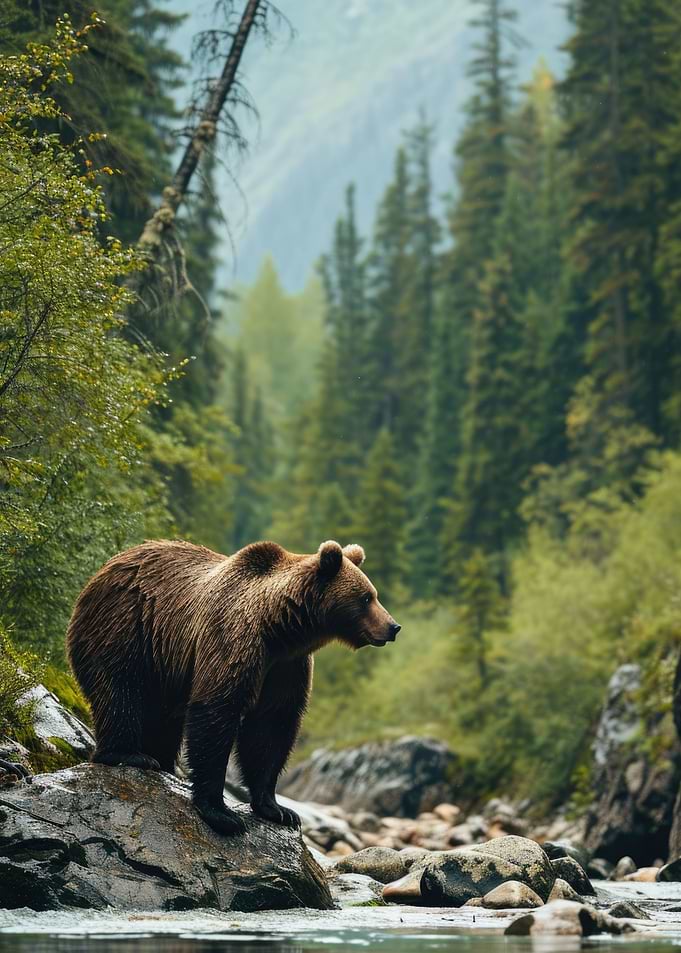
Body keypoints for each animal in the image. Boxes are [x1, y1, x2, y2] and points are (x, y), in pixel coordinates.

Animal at [66, 538, 400, 836]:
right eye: (366, 597)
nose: (393, 626)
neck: (281, 627)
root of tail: (104, 569)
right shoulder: (233, 639)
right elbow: (217, 711)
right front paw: (221, 812)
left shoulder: (286, 666)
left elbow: (272, 726)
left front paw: (278, 809)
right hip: (126, 628)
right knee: (122, 691)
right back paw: (129, 754)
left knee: (161, 719)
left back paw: (161, 761)